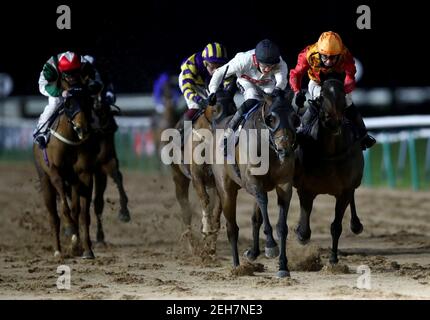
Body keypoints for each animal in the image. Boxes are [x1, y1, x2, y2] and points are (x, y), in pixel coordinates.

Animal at [33, 86, 96, 258]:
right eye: (69, 104)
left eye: (87, 101)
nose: (82, 128)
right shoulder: (54, 172)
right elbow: (64, 208)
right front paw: (70, 229)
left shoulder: (84, 175)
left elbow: (84, 215)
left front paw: (87, 250)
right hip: (45, 181)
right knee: (53, 217)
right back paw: (58, 251)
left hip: (73, 183)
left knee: (75, 210)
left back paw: (75, 246)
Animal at [169, 90, 235, 255]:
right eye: (215, 110)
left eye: (234, 108)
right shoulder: (197, 177)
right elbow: (204, 200)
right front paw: (206, 229)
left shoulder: (218, 182)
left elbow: (217, 208)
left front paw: (211, 243)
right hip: (179, 178)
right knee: (186, 209)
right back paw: (192, 245)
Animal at [212, 95, 298, 278]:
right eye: (271, 118)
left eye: (294, 118)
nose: (284, 150)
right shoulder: (251, 181)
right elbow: (264, 202)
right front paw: (271, 246)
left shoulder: (284, 184)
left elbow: (281, 226)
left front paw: (283, 266)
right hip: (226, 189)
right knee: (232, 227)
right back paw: (237, 267)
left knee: (255, 218)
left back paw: (252, 253)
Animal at [292, 79, 362, 264]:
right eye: (322, 96)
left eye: (342, 95)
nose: (333, 121)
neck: (330, 152)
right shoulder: (306, 190)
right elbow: (304, 231)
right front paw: (299, 233)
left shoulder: (344, 191)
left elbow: (336, 226)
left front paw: (333, 259)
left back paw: (356, 224)